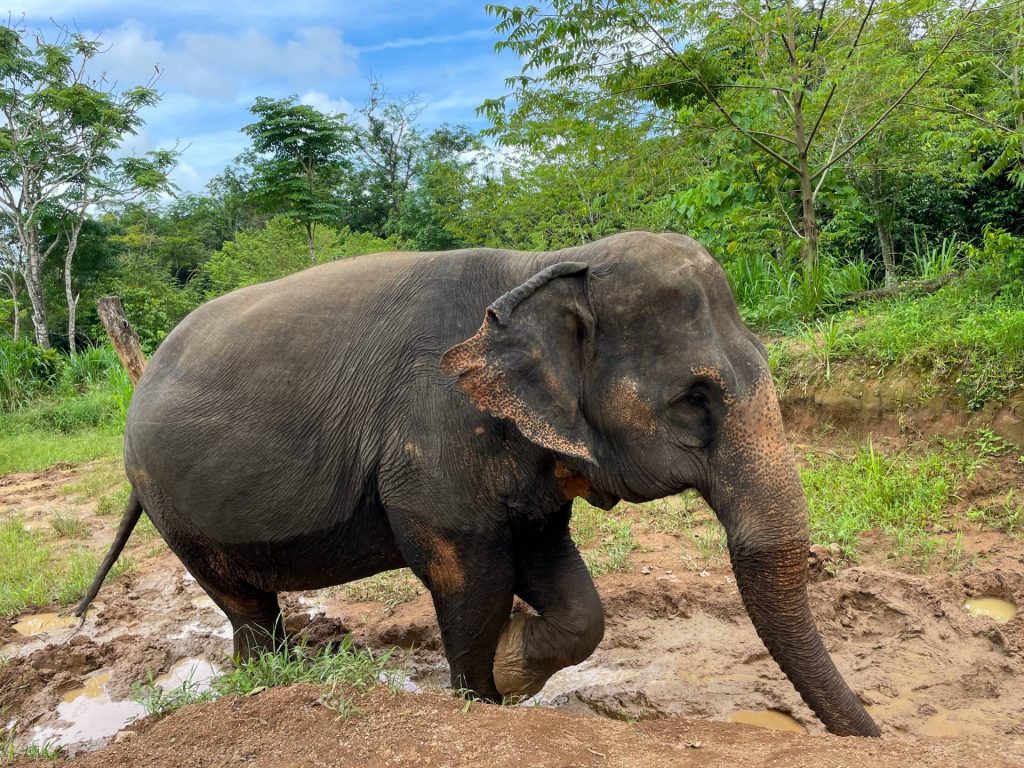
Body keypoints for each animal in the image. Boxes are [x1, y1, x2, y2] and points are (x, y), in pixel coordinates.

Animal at [79, 230, 880, 741]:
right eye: (695, 399)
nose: (873, 737)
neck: (546, 266)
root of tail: (138, 383)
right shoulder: (434, 440)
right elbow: (474, 580)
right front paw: (483, 695)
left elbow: (566, 586)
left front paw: (513, 667)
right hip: (172, 505)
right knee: (243, 602)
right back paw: (270, 684)